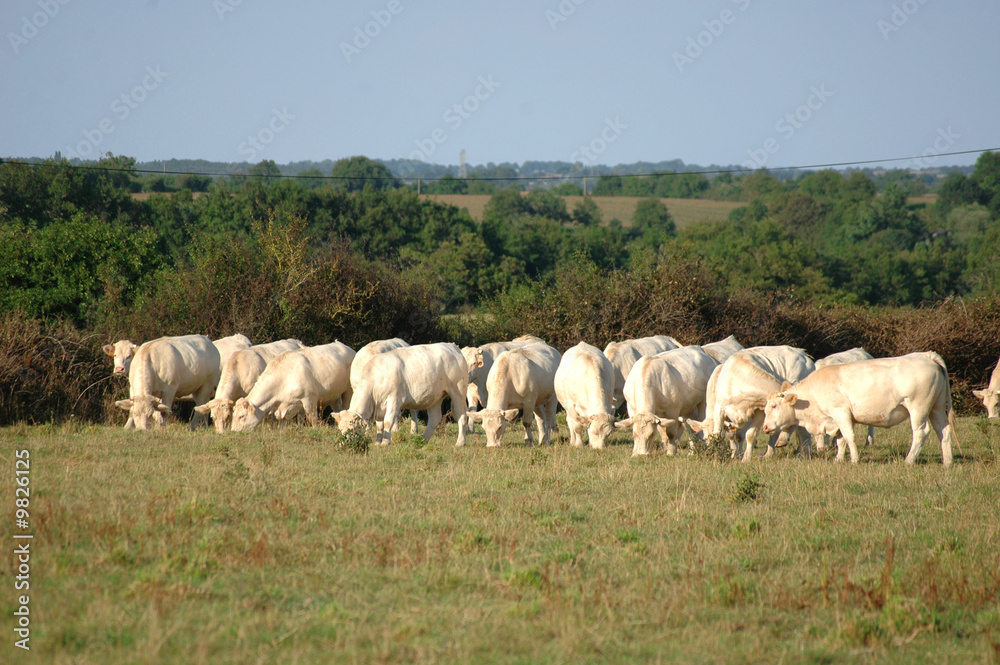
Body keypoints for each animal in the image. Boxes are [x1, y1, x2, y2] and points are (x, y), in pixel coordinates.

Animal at [330, 342, 466, 446]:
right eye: (340, 429)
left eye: (353, 428)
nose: (344, 444)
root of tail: (452, 346)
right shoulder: (378, 406)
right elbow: (379, 425)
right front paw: (377, 442)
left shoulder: (394, 399)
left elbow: (387, 422)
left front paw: (385, 442)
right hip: (435, 396)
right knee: (434, 418)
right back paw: (423, 440)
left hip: (458, 391)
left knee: (462, 417)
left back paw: (460, 442)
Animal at [764, 350, 960, 464]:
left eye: (773, 406)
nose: (765, 427)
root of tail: (926, 355)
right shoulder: (838, 420)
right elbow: (841, 439)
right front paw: (838, 459)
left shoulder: (840, 413)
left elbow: (849, 437)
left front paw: (854, 460)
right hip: (936, 408)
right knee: (943, 431)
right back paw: (947, 462)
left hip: (918, 409)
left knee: (921, 432)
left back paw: (909, 460)